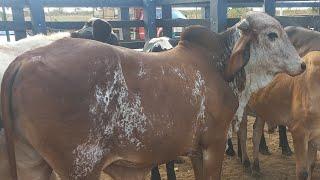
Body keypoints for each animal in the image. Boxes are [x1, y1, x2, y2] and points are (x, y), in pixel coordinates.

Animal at [1, 11, 304, 179]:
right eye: (272, 35)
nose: (301, 65)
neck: (220, 64)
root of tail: (24, 60)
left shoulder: (196, 149)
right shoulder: (214, 143)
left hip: (31, 163)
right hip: (80, 167)